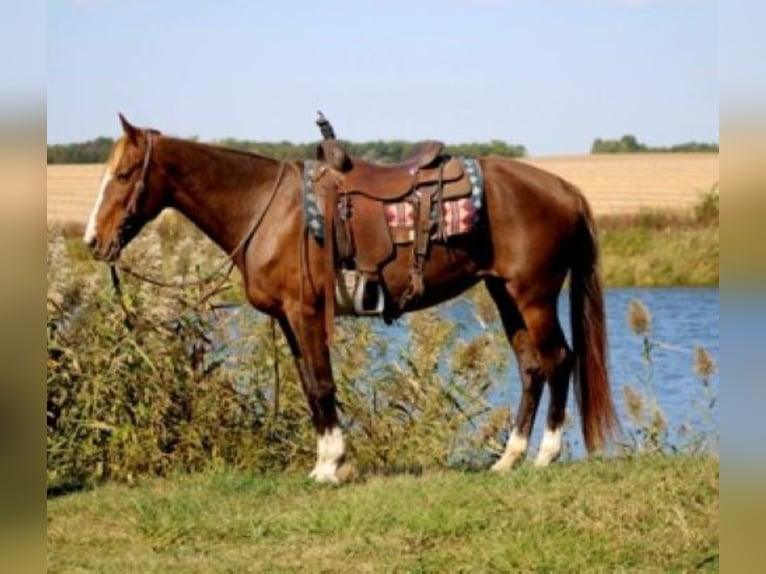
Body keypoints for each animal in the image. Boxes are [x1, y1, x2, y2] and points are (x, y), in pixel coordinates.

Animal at [84, 114, 618, 483]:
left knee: (558, 360)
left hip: (534, 296)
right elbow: (308, 385)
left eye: (125, 174)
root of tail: (565, 188)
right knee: (531, 368)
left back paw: (546, 455)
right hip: (505, 294)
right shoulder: (288, 320)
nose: (92, 240)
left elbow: (322, 385)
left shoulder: (304, 313)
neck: (267, 210)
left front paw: (330, 466)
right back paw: (508, 459)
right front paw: (323, 460)